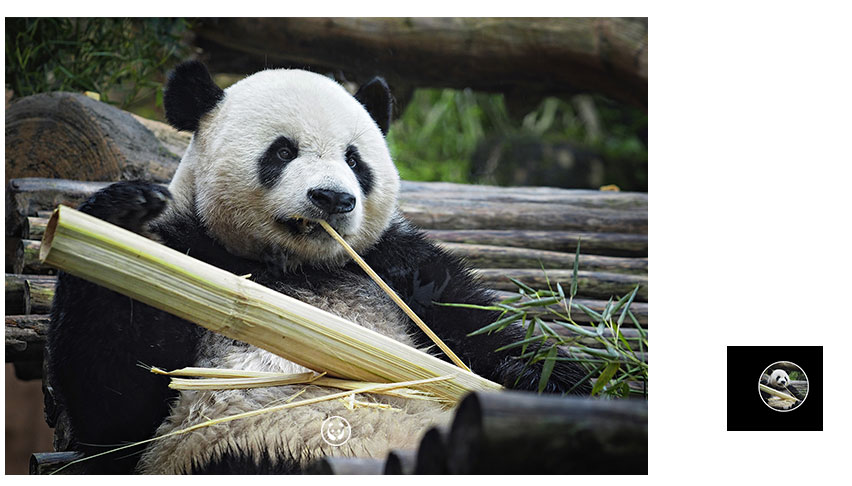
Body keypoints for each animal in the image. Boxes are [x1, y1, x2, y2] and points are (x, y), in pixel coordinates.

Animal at [47, 61, 591, 474]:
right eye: (283, 150)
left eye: (355, 160)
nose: (332, 198)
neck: (297, 268)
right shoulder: (192, 257)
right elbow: (117, 409)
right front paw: (121, 218)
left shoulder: (396, 270)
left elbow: (485, 331)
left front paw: (550, 381)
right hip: (257, 450)